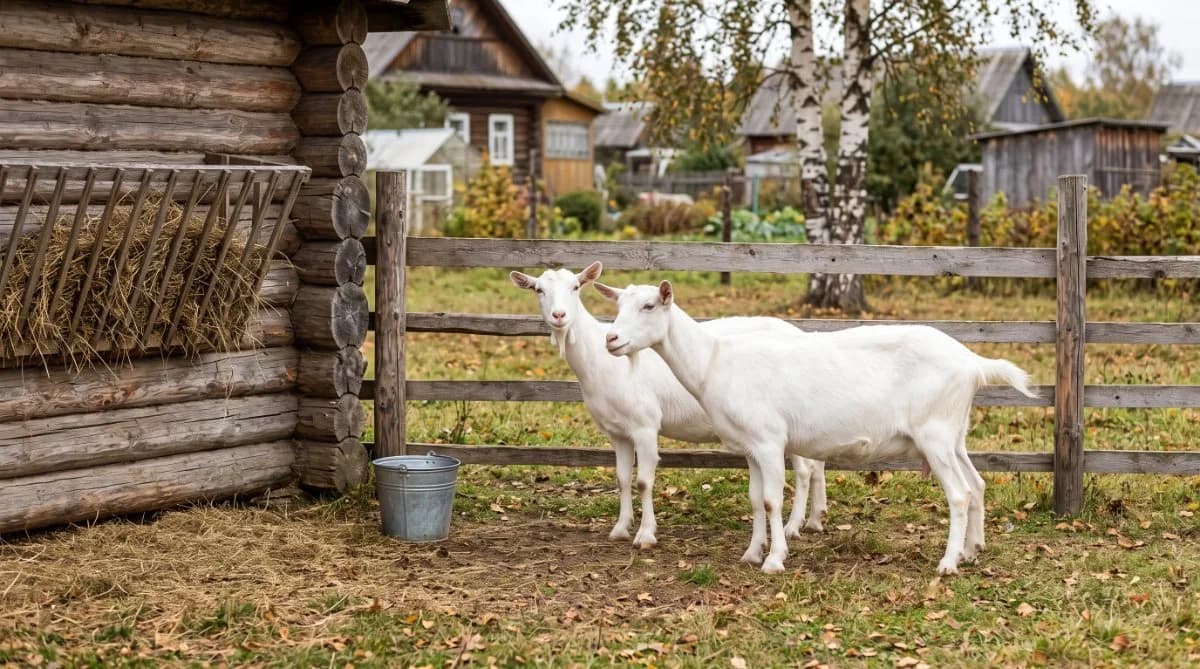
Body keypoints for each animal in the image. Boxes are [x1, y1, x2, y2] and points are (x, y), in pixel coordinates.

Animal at [510, 262, 827, 549]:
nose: (559, 316)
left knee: (804, 469)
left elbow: (643, 482)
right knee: (816, 464)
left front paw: (646, 535)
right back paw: (815, 518)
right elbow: (622, 478)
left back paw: (793, 526)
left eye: (576, 287)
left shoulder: (645, 424)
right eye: (539, 290)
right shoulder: (617, 431)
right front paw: (620, 528)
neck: (598, 364)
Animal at [598, 280, 1037, 575]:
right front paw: (752, 553)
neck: (715, 362)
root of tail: (972, 363)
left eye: (649, 305)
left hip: (935, 434)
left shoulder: (770, 440)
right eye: (618, 304)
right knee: (977, 484)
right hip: (953, 434)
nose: (611, 339)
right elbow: (755, 500)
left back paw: (948, 563)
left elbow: (772, 501)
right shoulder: (750, 447)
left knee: (960, 494)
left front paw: (774, 559)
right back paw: (971, 551)